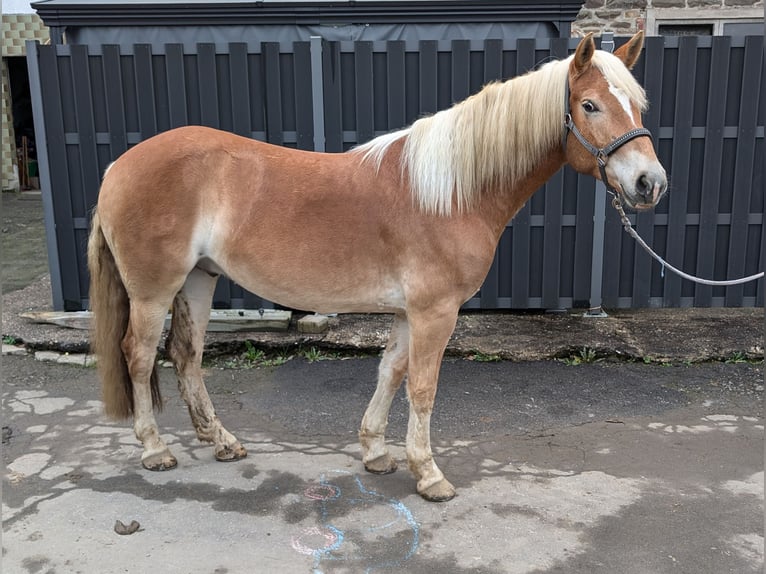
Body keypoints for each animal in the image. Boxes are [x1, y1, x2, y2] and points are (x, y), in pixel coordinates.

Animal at [88, 31, 664, 504]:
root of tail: (118, 166)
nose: (649, 183)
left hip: (198, 280)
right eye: (589, 105)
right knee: (138, 356)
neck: (450, 191)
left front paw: (376, 452)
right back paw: (154, 449)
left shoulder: (410, 311)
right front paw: (429, 474)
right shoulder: (436, 311)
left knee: (186, 355)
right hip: (153, 290)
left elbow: (391, 371)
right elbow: (423, 387)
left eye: (637, 105)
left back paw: (222, 440)